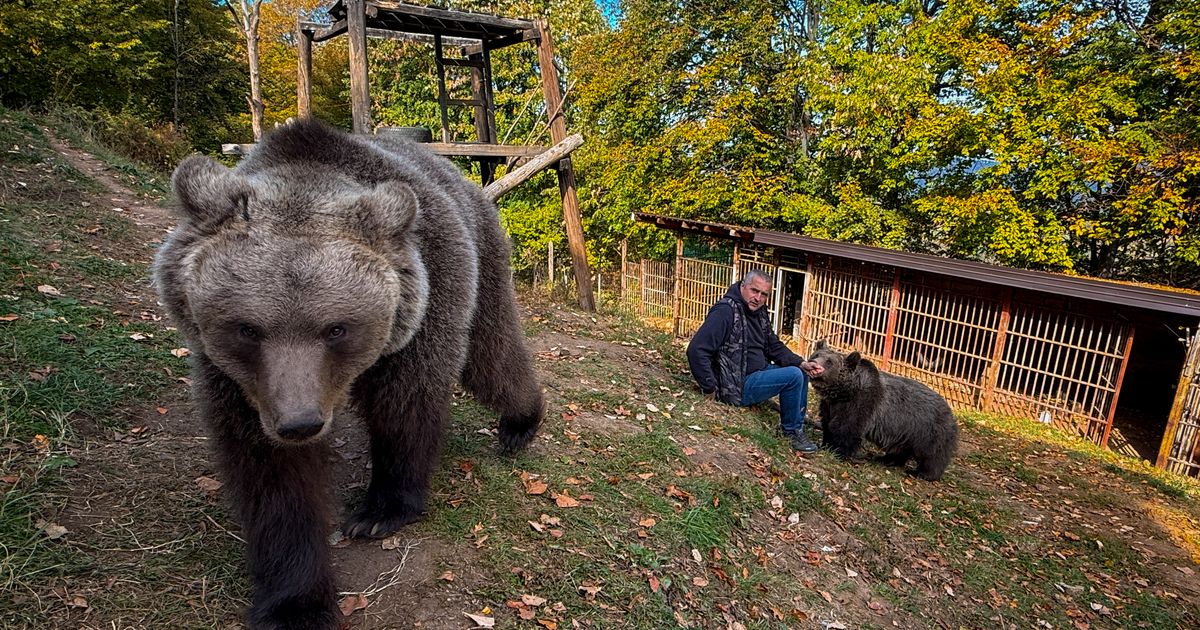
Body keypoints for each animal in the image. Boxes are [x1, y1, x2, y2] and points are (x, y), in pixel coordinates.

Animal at [153, 119, 543, 629]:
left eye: (336, 327)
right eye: (247, 328)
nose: (299, 423)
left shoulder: (427, 302)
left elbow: (406, 407)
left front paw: (379, 510)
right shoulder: (240, 384)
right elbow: (274, 478)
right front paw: (296, 603)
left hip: (485, 258)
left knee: (491, 354)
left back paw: (520, 422)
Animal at [800, 341, 958, 481]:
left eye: (829, 362)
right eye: (816, 354)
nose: (813, 363)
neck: (843, 392)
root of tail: (951, 413)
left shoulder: (861, 404)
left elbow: (846, 428)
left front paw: (839, 452)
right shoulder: (830, 406)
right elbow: (828, 424)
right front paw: (826, 444)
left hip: (928, 429)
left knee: (932, 455)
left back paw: (922, 473)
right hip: (906, 431)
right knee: (900, 449)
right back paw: (885, 459)